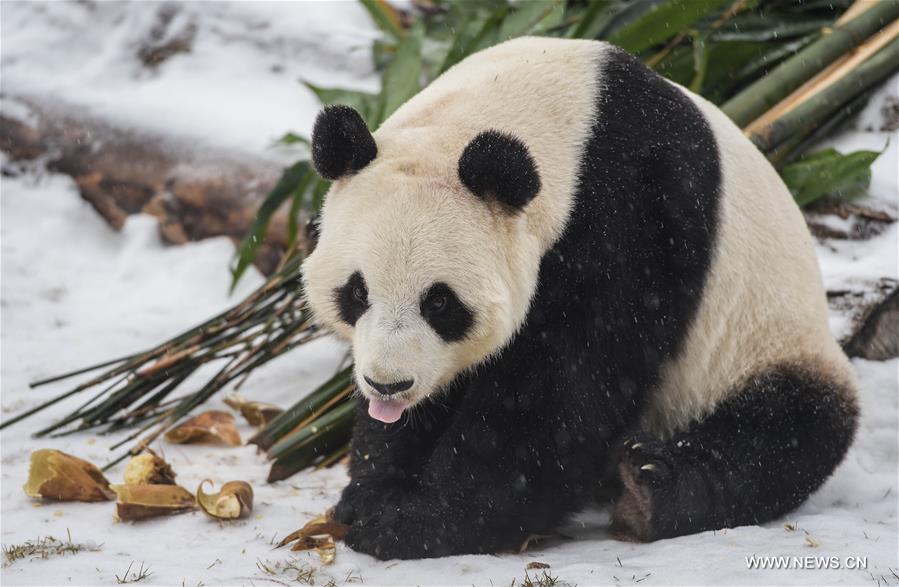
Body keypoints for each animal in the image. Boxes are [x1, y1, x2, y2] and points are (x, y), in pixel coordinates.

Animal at [300, 36, 856, 560]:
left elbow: (563, 389)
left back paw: (652, 487)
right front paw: (371, 493)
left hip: (762, 342)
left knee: (782, 433)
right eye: (356, 292)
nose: (388, 384)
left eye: (439, 304)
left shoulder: (635, 216)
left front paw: (415, 521)